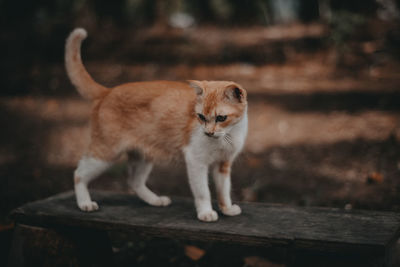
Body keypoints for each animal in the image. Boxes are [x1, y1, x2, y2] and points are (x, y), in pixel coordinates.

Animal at [65, 28, 247, 223]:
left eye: (221, 118)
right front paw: (206, 212)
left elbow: (224, 191)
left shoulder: (223, 165)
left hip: (142, 156)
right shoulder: (196, 162)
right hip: (105, 154)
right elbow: (203, 192)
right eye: (201, 117)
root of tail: (108, 91)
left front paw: (227, 209)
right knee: (78, 174)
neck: (227, 136)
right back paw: (85, 203)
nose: (208, 132)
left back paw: (155, 200)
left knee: (134, 181)